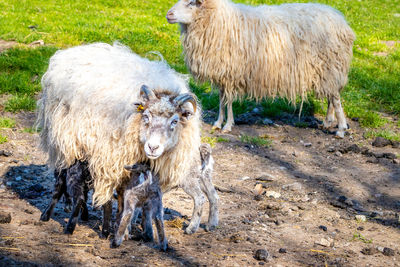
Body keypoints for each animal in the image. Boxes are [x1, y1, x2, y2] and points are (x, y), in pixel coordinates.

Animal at [36, 43, 219, 234]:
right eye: (146, 116)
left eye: (175, 121)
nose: (153, 147)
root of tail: (73, 49)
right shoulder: (112, 161)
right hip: (62, 140)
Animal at [167, 0, 354, 138]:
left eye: (192, 2)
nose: (168, 14)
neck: (218, 20)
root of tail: (341, 21)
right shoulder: (223, 73)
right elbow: (221, 100)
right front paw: (218, 123)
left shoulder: (231, 73)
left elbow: (228, 101)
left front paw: (227, 125)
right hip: (327, 71)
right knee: (332, 97)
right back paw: (328, 122)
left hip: (330, 66)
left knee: (336, 98)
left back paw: (341, 129)